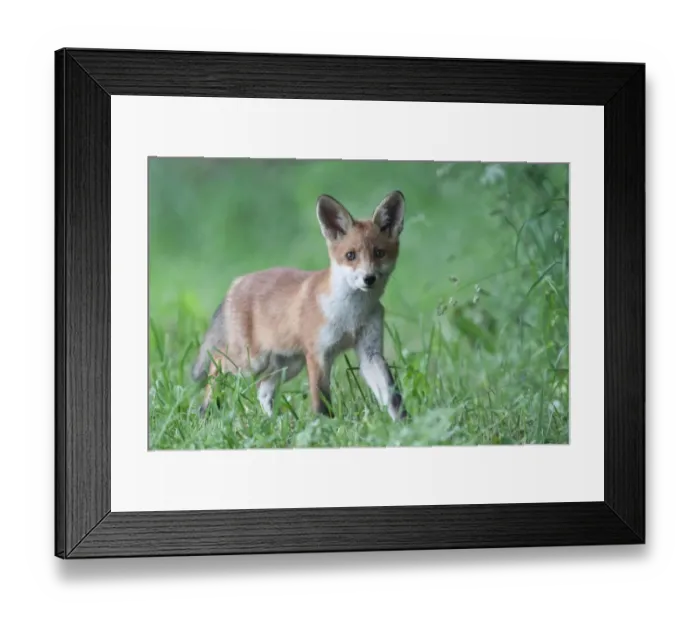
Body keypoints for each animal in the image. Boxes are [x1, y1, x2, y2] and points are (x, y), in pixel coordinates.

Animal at [191, 189, 409, 422]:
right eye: (351, 255)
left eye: (379, 253)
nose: (369, 279)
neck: (351, 316)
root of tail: (236, 282)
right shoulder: (318, 354)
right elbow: (321, 400)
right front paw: (325, 426)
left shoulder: (370, 353)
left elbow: (392, 396)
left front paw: (404, 423)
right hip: (250, 360)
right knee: (216, 363)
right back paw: (206, 409)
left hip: (288, 364)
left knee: (263, 389)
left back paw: (274, 422)